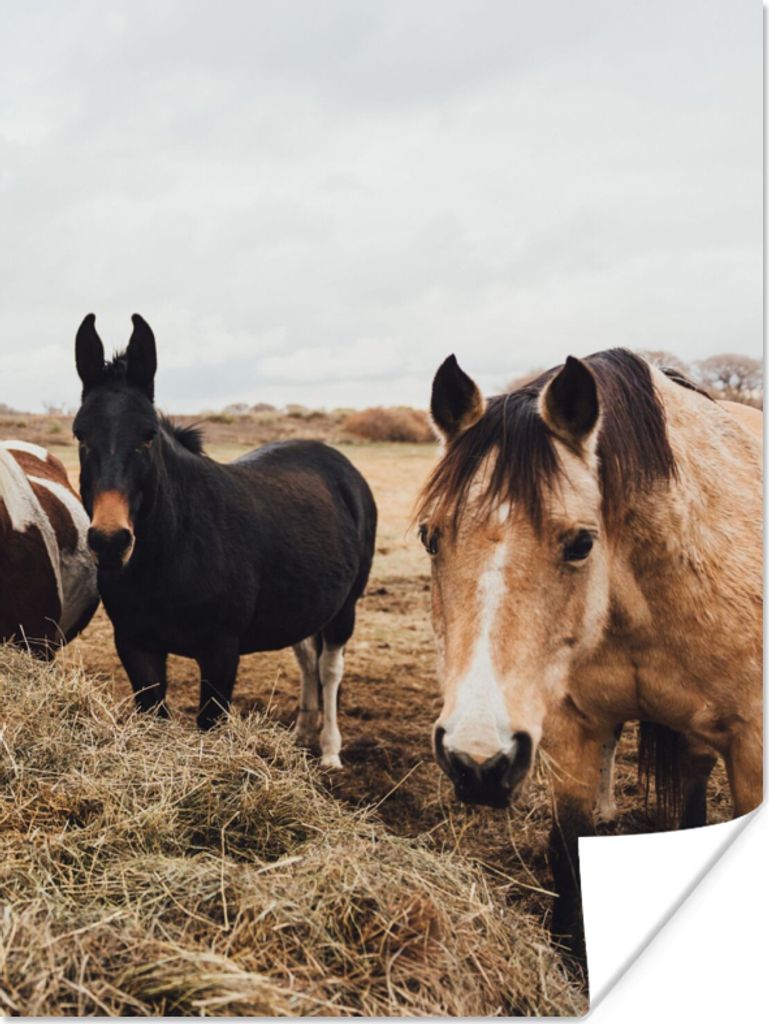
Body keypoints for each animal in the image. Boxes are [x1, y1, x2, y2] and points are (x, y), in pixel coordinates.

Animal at [72, 313, 377, 765]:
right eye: (80, 435)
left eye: (148, 435)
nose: (110, 541)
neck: (173, 551)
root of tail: (341, 466)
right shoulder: (135, 646)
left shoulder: (220, 652)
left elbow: (210, 722)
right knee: (308, 661)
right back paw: (302, 734)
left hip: (345, 608)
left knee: (329, 669)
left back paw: (329, 752)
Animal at [416, 349, 762, 957]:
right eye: (429, 537)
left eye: (581, 542)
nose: (476, 761)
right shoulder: (571, 729)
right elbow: (569, 853)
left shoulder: (751, 745)